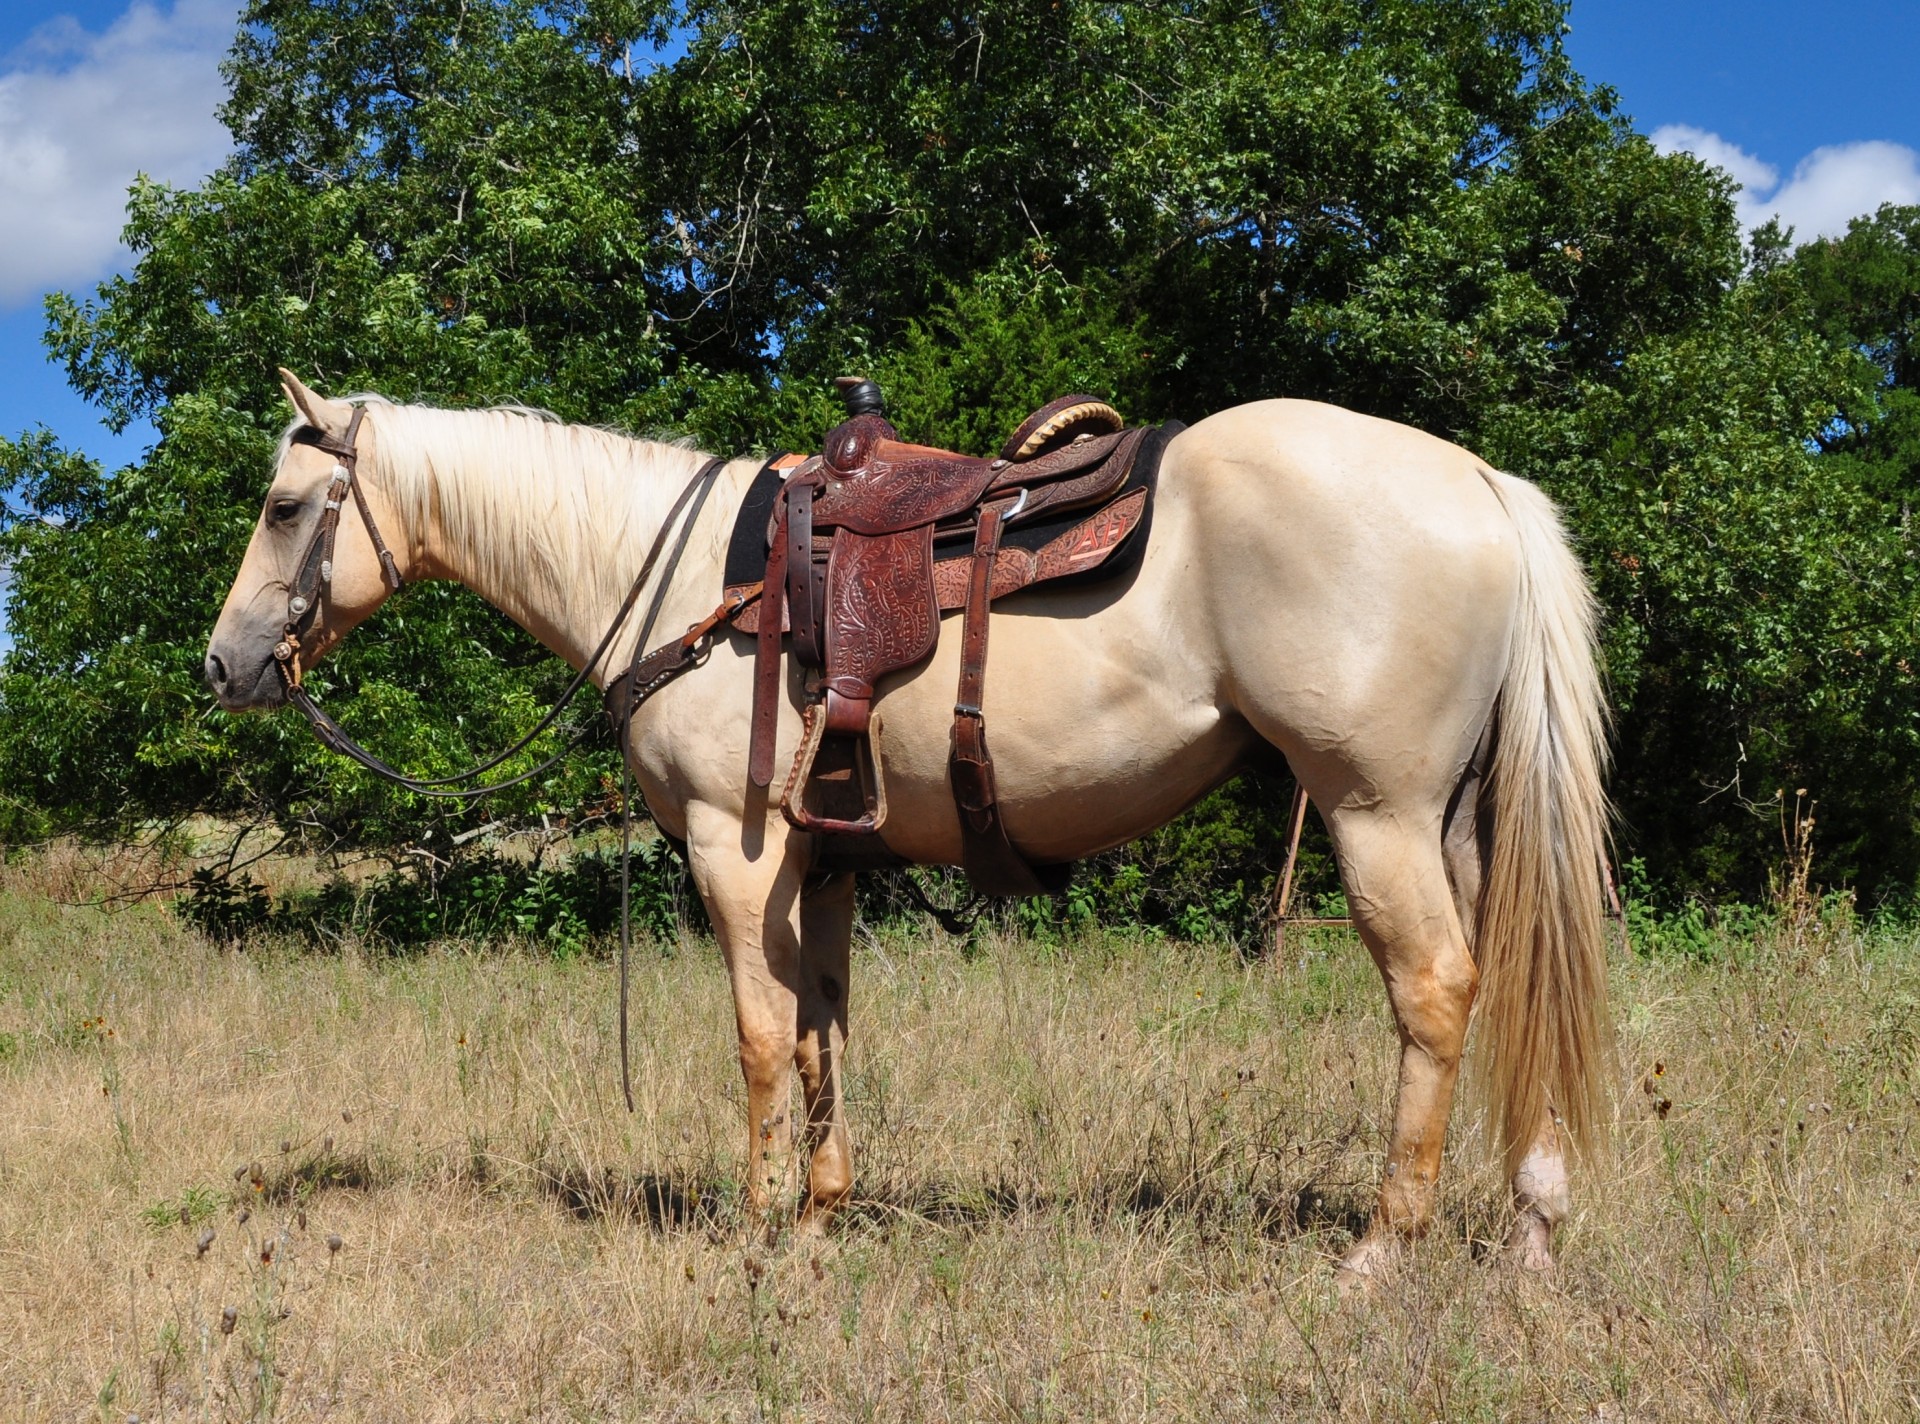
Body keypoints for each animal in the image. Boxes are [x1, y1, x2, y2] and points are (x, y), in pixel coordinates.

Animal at [202, 374, 1612, 1274]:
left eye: (284, 507)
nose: (225, 664)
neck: (679, 580)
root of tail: (1478, 479)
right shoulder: (825, 863)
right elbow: (822, 1032)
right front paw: (821, 1218)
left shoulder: (736, 850)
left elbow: (759, 1038)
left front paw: (756, 1228)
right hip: (1461, 823)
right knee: (1511, 981)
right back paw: (1532, 1228)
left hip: (1379, 814)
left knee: (1434, 991)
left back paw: (1383, 1243)